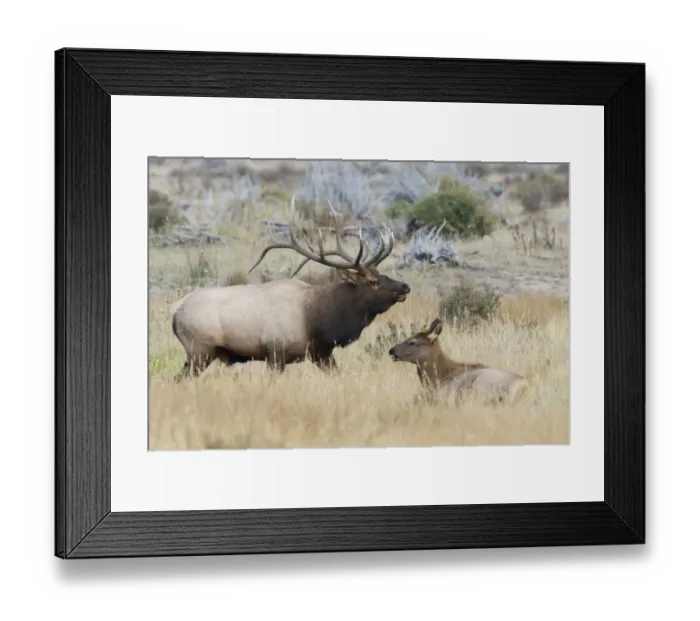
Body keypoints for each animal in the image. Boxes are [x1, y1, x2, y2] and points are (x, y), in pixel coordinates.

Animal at [170, 198, 411, 380]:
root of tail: (175, 313)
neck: (318, 321)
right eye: (373, 282)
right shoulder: (275, 352)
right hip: (199, 349)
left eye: (380, 274)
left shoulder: (322, 353)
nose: (405, 286)